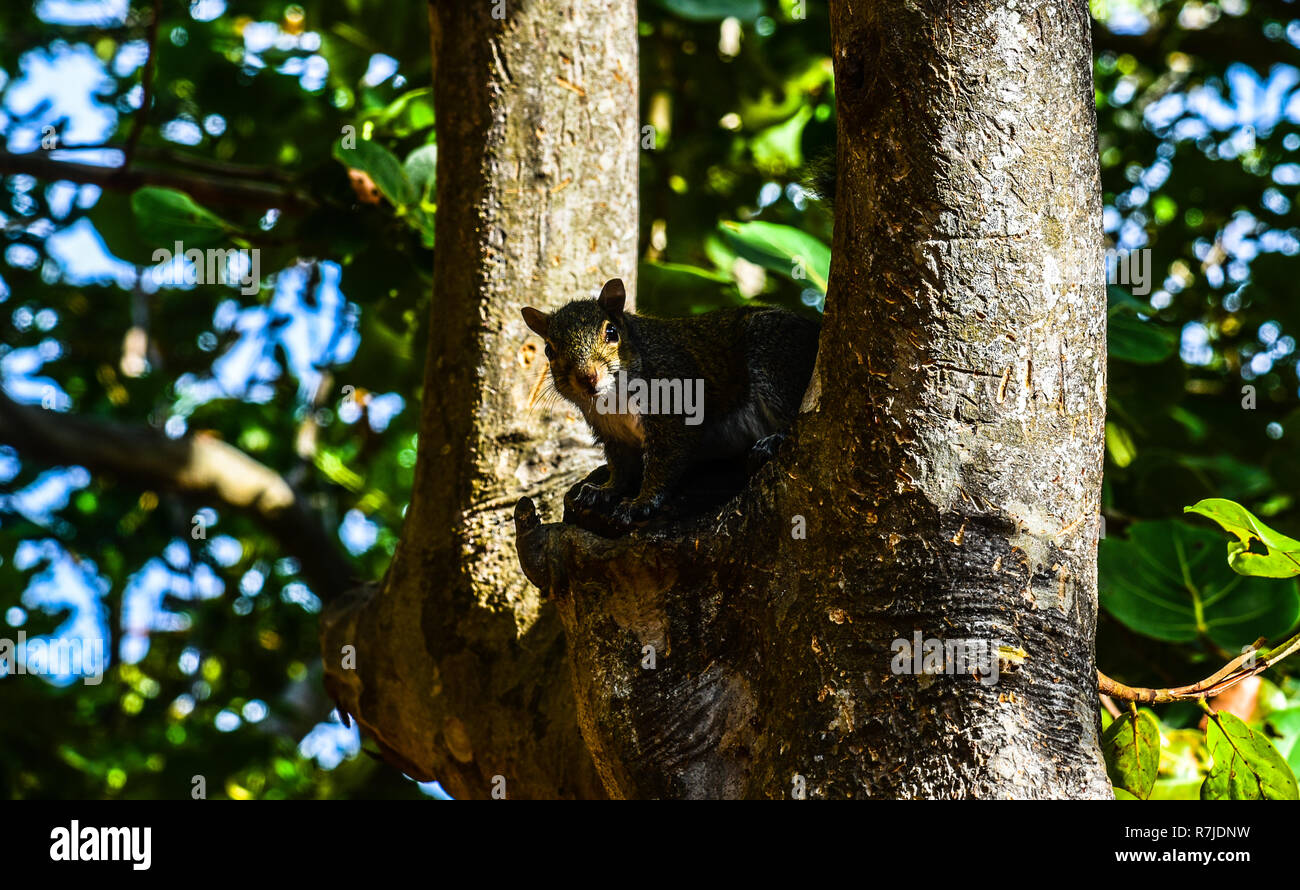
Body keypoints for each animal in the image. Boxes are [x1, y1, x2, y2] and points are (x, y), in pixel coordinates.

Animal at [521, 278, 820, 530]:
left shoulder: (675, 409)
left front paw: (641, 503)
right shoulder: (614, 435)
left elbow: (664, 462)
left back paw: (773, 440)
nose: (588, 377)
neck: (613, 401)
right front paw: (604, 490)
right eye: (549, 349)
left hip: (774, 356)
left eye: (612, 332)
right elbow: (622, 467)